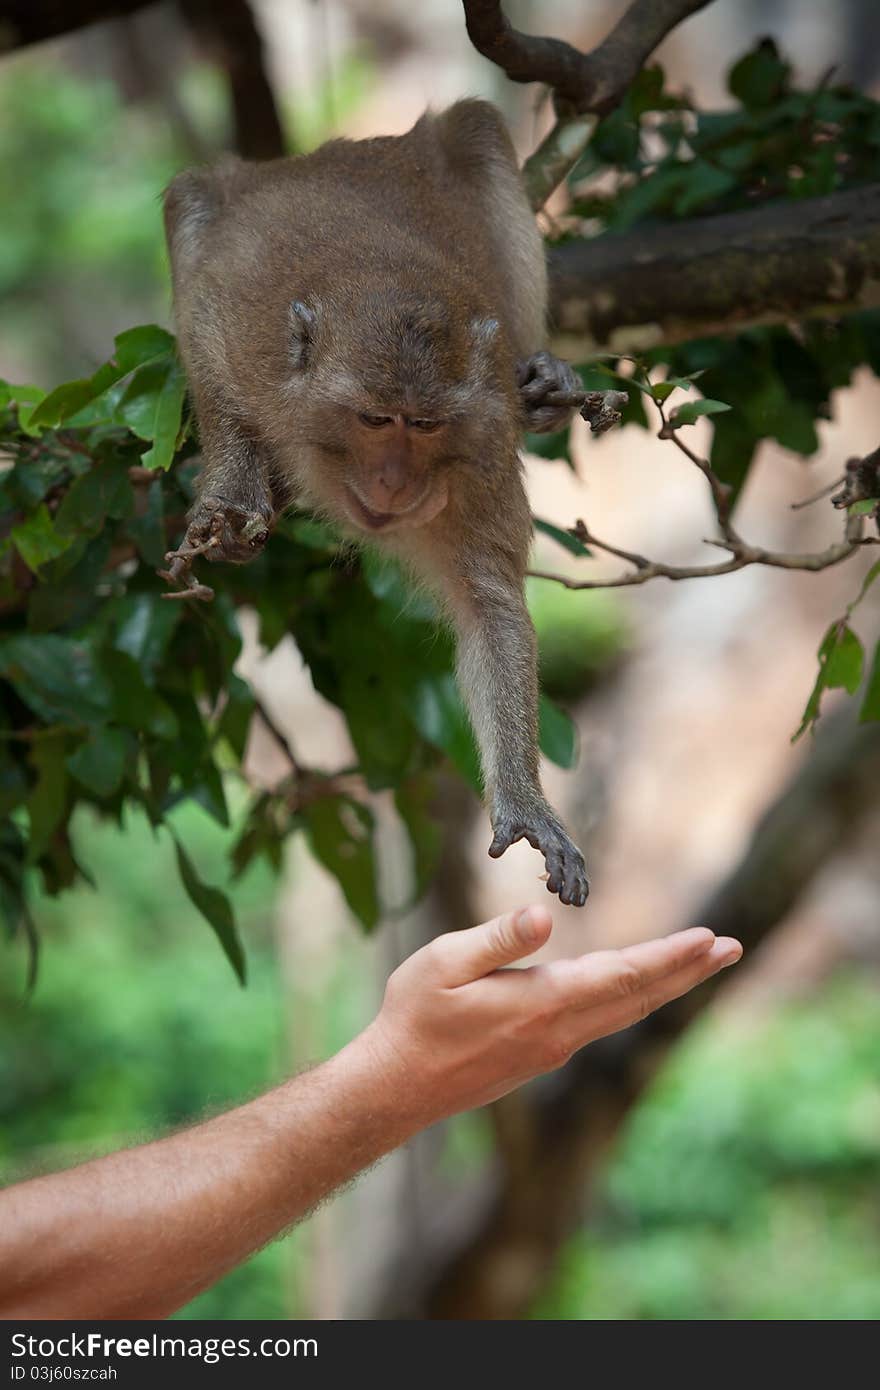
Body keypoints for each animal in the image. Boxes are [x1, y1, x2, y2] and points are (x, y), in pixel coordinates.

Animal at [164, 95, 589, 900]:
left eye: (423, 425)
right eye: (373, 419)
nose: (395, 481)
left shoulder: (481, 462)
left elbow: (490, 610)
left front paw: (525, 801)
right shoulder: (247, 335)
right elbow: (204, 333)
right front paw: (233, 485)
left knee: (478, 128)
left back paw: (542, 377)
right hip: (220, 198)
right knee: (190, 198)